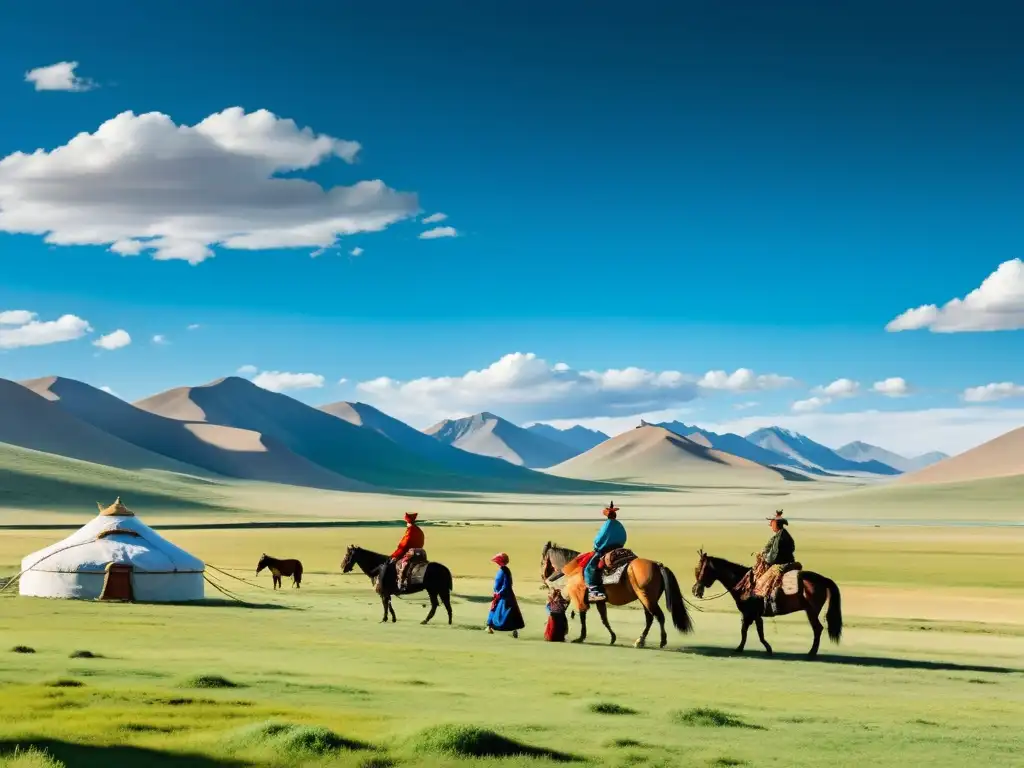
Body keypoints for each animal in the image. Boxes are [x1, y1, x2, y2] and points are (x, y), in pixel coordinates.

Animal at [536, 540, 696, 651]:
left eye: (542, 561)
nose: (544, 577)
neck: (573, 568)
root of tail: (658, 565)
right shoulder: (599, 601)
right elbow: (604, 619)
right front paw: (612, 637)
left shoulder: (580, 596)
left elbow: (583, 616)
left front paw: (581, 637)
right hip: (646, 598)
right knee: (650, 618)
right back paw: (641, 640)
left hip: (646, 597)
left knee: (658, 616)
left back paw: (660, 641)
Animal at [692, 548, 843, 659]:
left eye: (700, 570)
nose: (695, 590)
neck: (744, 583)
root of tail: (823, 579)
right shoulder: (750, 614)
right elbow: (748, 631)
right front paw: (743, 648)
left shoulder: (751, 613)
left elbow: (755, 632)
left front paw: (764, 648)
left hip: (811, 611)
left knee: (817, 629)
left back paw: (811, 653)